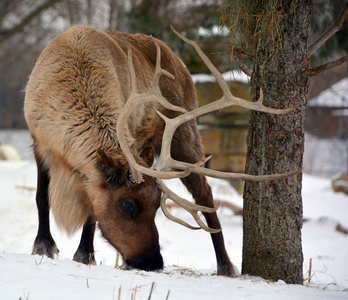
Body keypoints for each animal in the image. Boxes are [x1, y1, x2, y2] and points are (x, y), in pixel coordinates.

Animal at [23, 25, 300, 276]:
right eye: (127, 204)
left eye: (157, 205)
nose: (153, 262)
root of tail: (182, 66)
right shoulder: (39, 143)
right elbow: (41, 197)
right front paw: (43, 245)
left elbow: (91, 210)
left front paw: (84, 254)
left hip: (184, 133)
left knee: (205, 195)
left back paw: (225, 265)